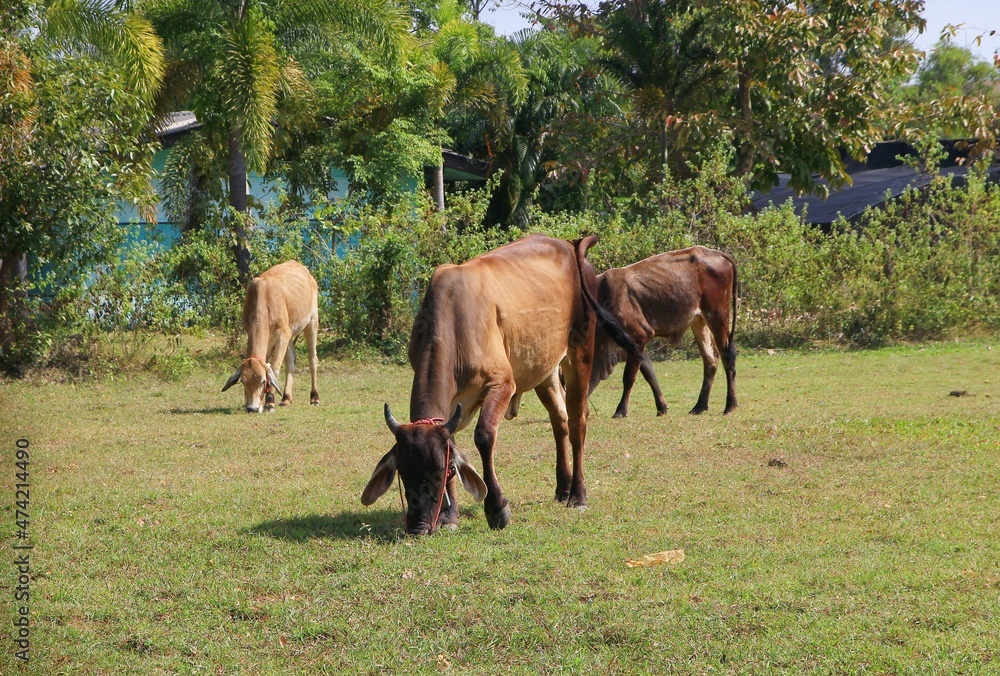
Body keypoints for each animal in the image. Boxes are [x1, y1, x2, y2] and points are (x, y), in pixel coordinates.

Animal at [223, 262, 320, 414]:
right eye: (243, 381)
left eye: (263, 381)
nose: (252, 408)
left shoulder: (282, 335)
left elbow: (274, 369)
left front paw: (269, 403)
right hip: (290, 335)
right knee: (291, 363)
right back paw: (286, 398)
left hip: (312, 322)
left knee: (313, 360)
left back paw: (314, 397)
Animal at [360, 235, 640, 536]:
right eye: (402, 471)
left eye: (441, 470)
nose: (417, 526)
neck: (452, 324)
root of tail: (570, 244)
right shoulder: (452, 407)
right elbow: (453, 442)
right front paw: (449, 516)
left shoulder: (502, 383)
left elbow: (483, 436)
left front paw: (497, 509)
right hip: (544, 367)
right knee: (560, 419)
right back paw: (562, 488)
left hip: (580, 352)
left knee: (577, 419)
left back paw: (577, 495)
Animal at [588, 247, 740, 418]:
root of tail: (717, 253)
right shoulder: (633, 345)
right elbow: (649, 373)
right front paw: (662, 407)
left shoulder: (639, 336)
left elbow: (629, 377)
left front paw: (621, 410)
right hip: (699, 321)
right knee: (710, 361)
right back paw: (700, 406)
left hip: (718, 315)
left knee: (727, 357)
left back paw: (730, 405)